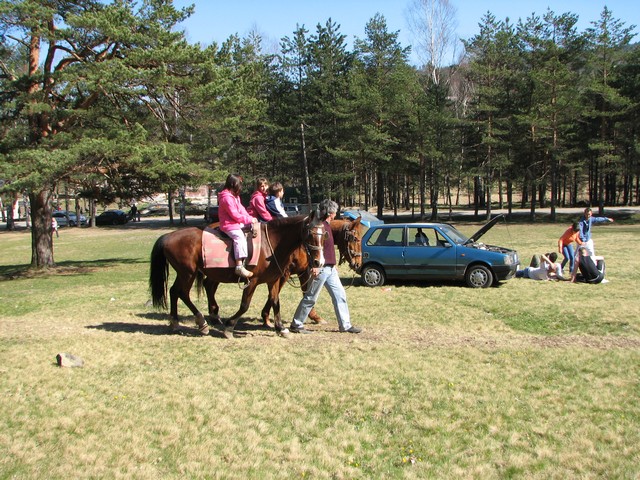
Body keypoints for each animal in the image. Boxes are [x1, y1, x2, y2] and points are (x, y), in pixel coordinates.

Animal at [149, 213, 326, 338]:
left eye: (324, 235)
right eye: (310, 234)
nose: (319, 262)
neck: (271, 245)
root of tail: (169, 236)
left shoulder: (274, 280)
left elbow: (275, 302)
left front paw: (280, 328)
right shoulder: (252, 281)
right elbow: (244, 305)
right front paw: (230, 326)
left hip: (186, 274)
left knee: (175, 291)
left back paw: (176, 323)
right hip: (188, 273)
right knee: (183, 293)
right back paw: (202, 323)